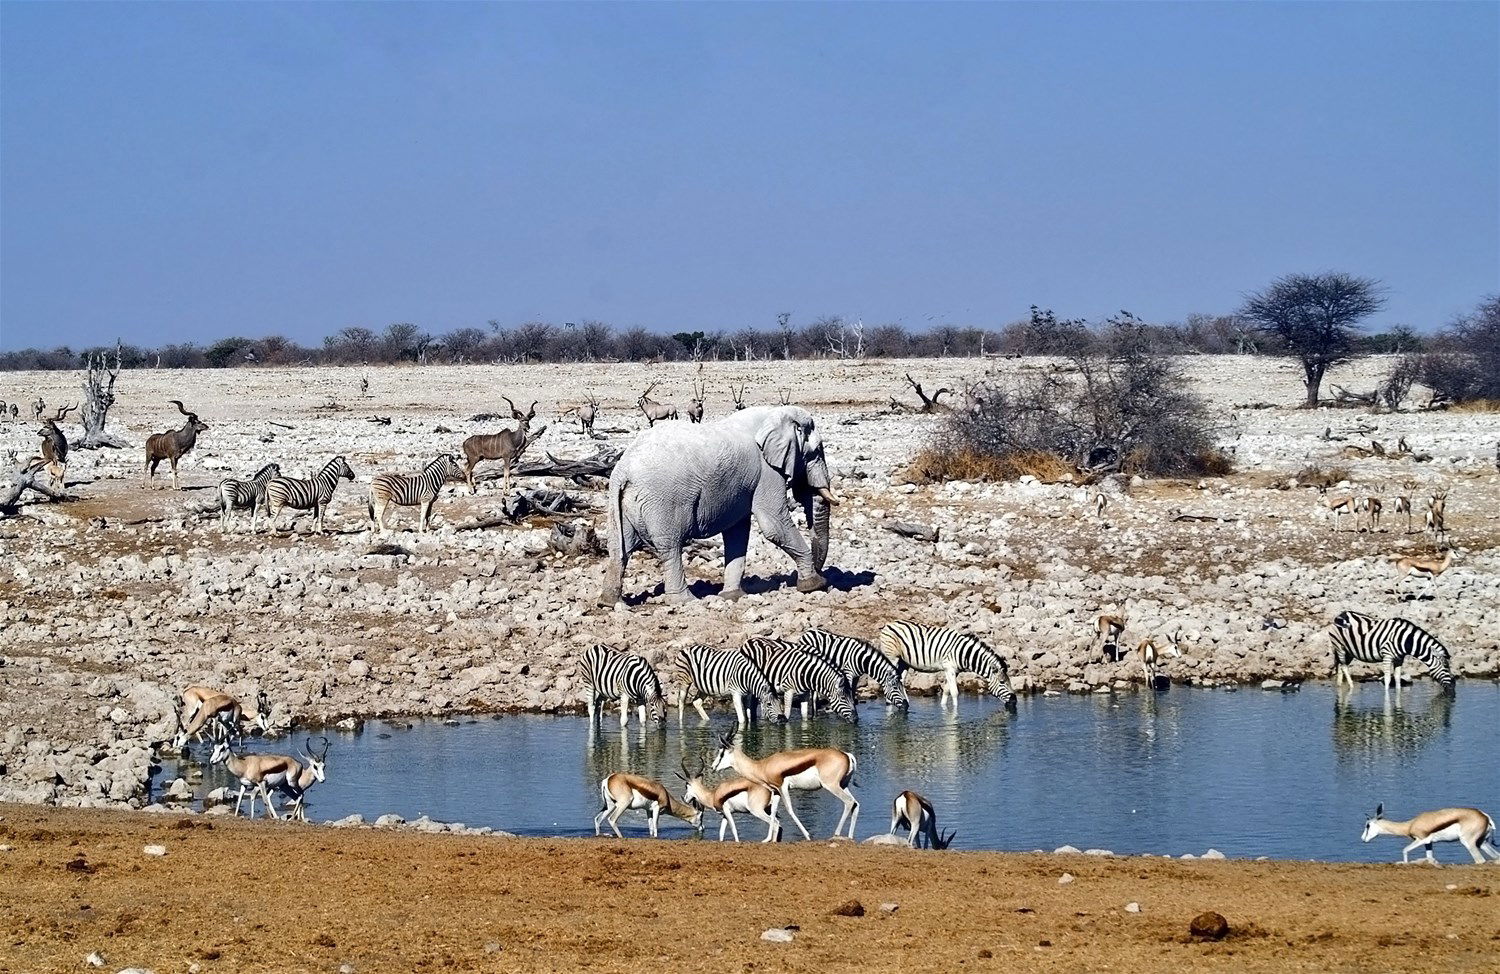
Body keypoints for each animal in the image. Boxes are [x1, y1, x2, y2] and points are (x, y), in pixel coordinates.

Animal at [597, 402, 840, 600]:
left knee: (620, 547)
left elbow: (737, 532)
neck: (775, 414)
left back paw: (610, 602)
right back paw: (685, 601)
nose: (822, 573)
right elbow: (773, 524)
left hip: (621, 502)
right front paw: (813, 585)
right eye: (816, 452)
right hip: (661, 500)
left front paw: (732, 596)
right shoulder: (767, 472)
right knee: (669, 546)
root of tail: (623, 469)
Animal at [711, 732, 858, 840]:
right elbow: (774, 812)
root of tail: (846, 755)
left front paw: (807, 836)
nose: (712, 767)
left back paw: (836, 834)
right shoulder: (775, 791)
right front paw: (767, 839)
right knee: (855, 804)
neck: (762, 766)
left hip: (832, 786)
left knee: (849, 802)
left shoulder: (782, 787)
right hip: (843, 785)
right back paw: (850, 837)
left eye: (721, 753)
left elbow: (789, 810)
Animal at [876, 618, 1020, 711]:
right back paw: (889, 702)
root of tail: (889, 624)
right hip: (892, 657)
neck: (963, 654)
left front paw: (943, 707)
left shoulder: (953, 671)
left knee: (900, 679)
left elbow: (946, 690)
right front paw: (956, 712)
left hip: (904, 661)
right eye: (1002, 682)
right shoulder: (949, 668)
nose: (1014, 701)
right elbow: (955, 692)